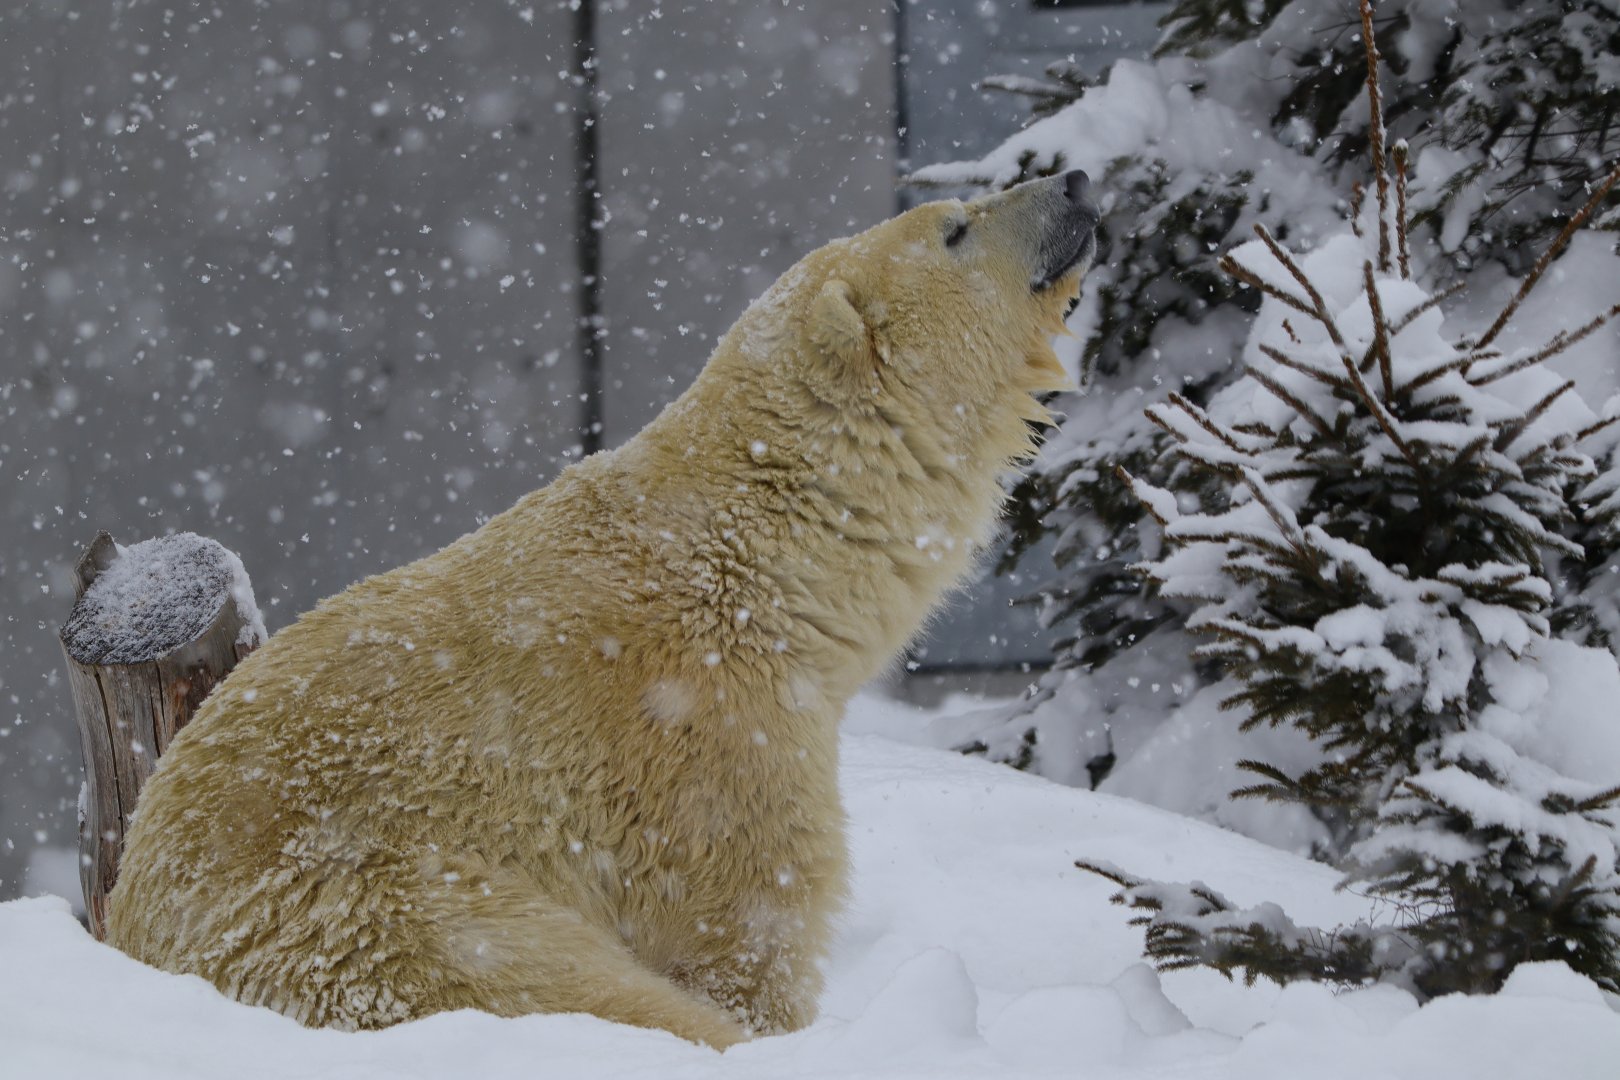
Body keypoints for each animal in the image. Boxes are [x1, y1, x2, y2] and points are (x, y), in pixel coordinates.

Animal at [106, 170, 1099, 1047]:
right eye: (956, 226)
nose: (1077, 182)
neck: (755, 562)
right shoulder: (705, 737)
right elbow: (744, 922)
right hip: (352, 905)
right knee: (530, 975)